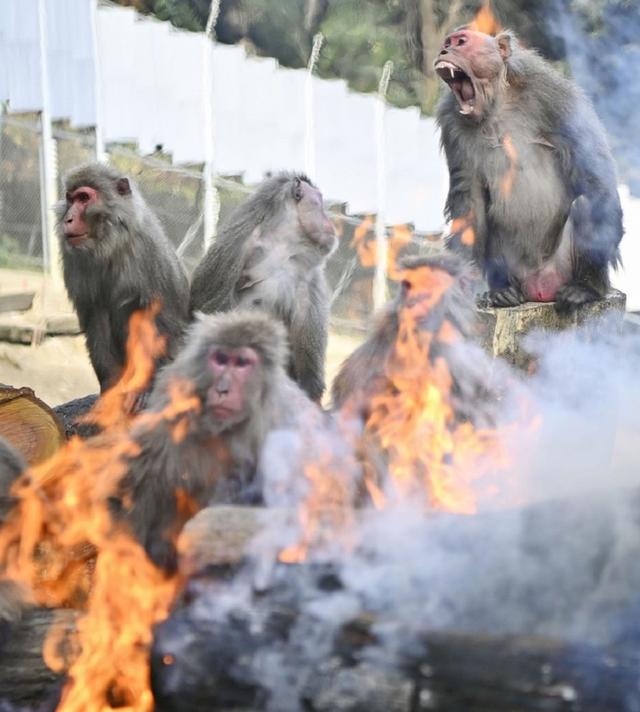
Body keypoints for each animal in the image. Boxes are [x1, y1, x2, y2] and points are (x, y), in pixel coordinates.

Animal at [57, 163, 190, 394]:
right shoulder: (73, 258)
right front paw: (110, 383)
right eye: (70, 199)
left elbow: (159, 316)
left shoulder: (148, 250)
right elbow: (95, 314)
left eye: (83, 198)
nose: (68, 219)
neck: (109, 244)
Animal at [436, 27, 624, 312]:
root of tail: (539, 289)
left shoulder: (553, 94)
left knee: (588, 201)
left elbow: (593, 172)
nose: (444, 50)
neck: (497, 102)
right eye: (448, 42)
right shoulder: (451, 121)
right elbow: (470, 203)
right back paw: (501, 292)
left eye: (461, 42)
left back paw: (586, 287)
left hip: (561, 267)